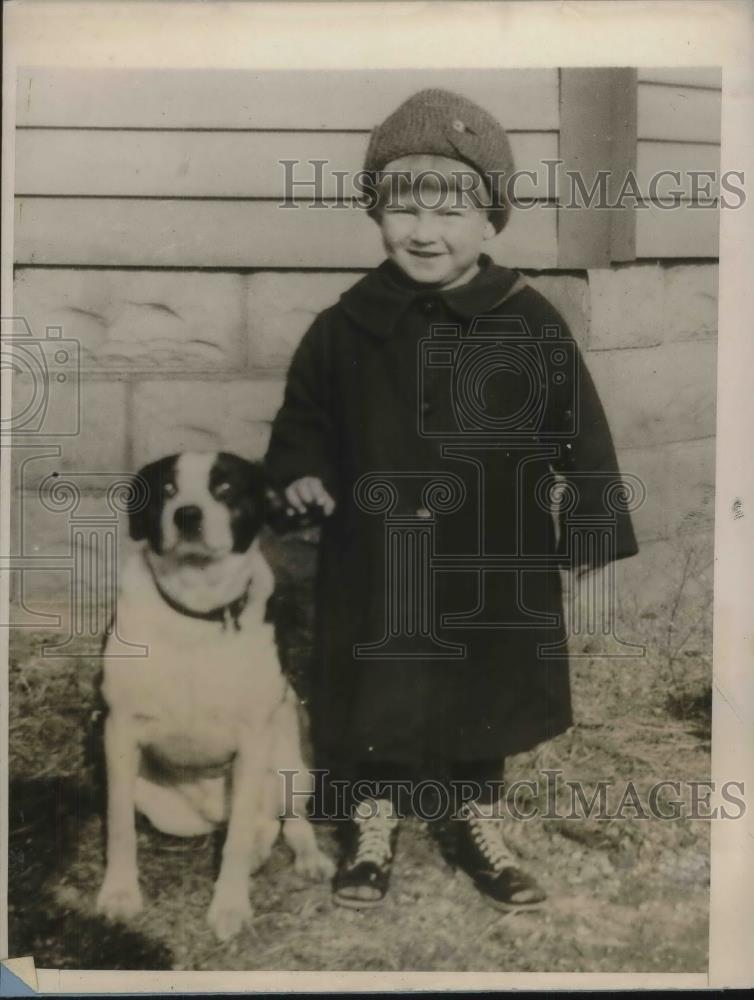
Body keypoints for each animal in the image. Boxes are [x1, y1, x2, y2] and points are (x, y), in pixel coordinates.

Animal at [95, 454, 330, 936]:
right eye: (166, 489)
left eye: (225, 489)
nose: (187, 515)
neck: (198, 612)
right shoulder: (119, 729)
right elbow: (120, 825)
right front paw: (120, 894)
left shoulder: (254, 738)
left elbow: (238, 835)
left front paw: (230, 905)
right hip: (161, 804)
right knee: (260, 824)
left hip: (291, 763)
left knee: (283, 820)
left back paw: (307, 857)